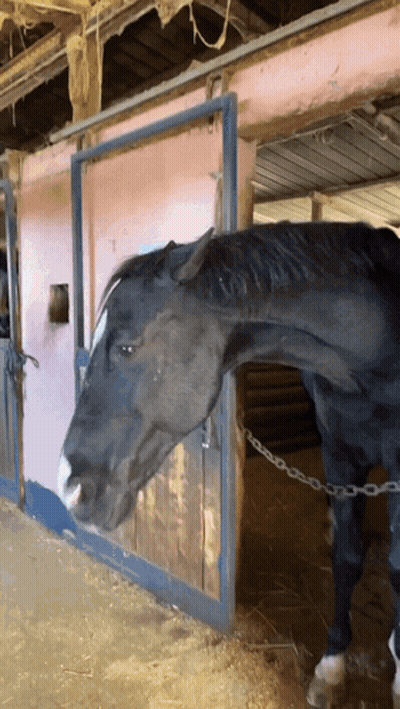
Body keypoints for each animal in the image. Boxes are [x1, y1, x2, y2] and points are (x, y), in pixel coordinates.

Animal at [58, 221, 400, 708]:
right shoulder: (340, 458)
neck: (375, 350)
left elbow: (395, 566)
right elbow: (348, 558)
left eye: (126, 347)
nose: (69, 485)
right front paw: (331, 667)